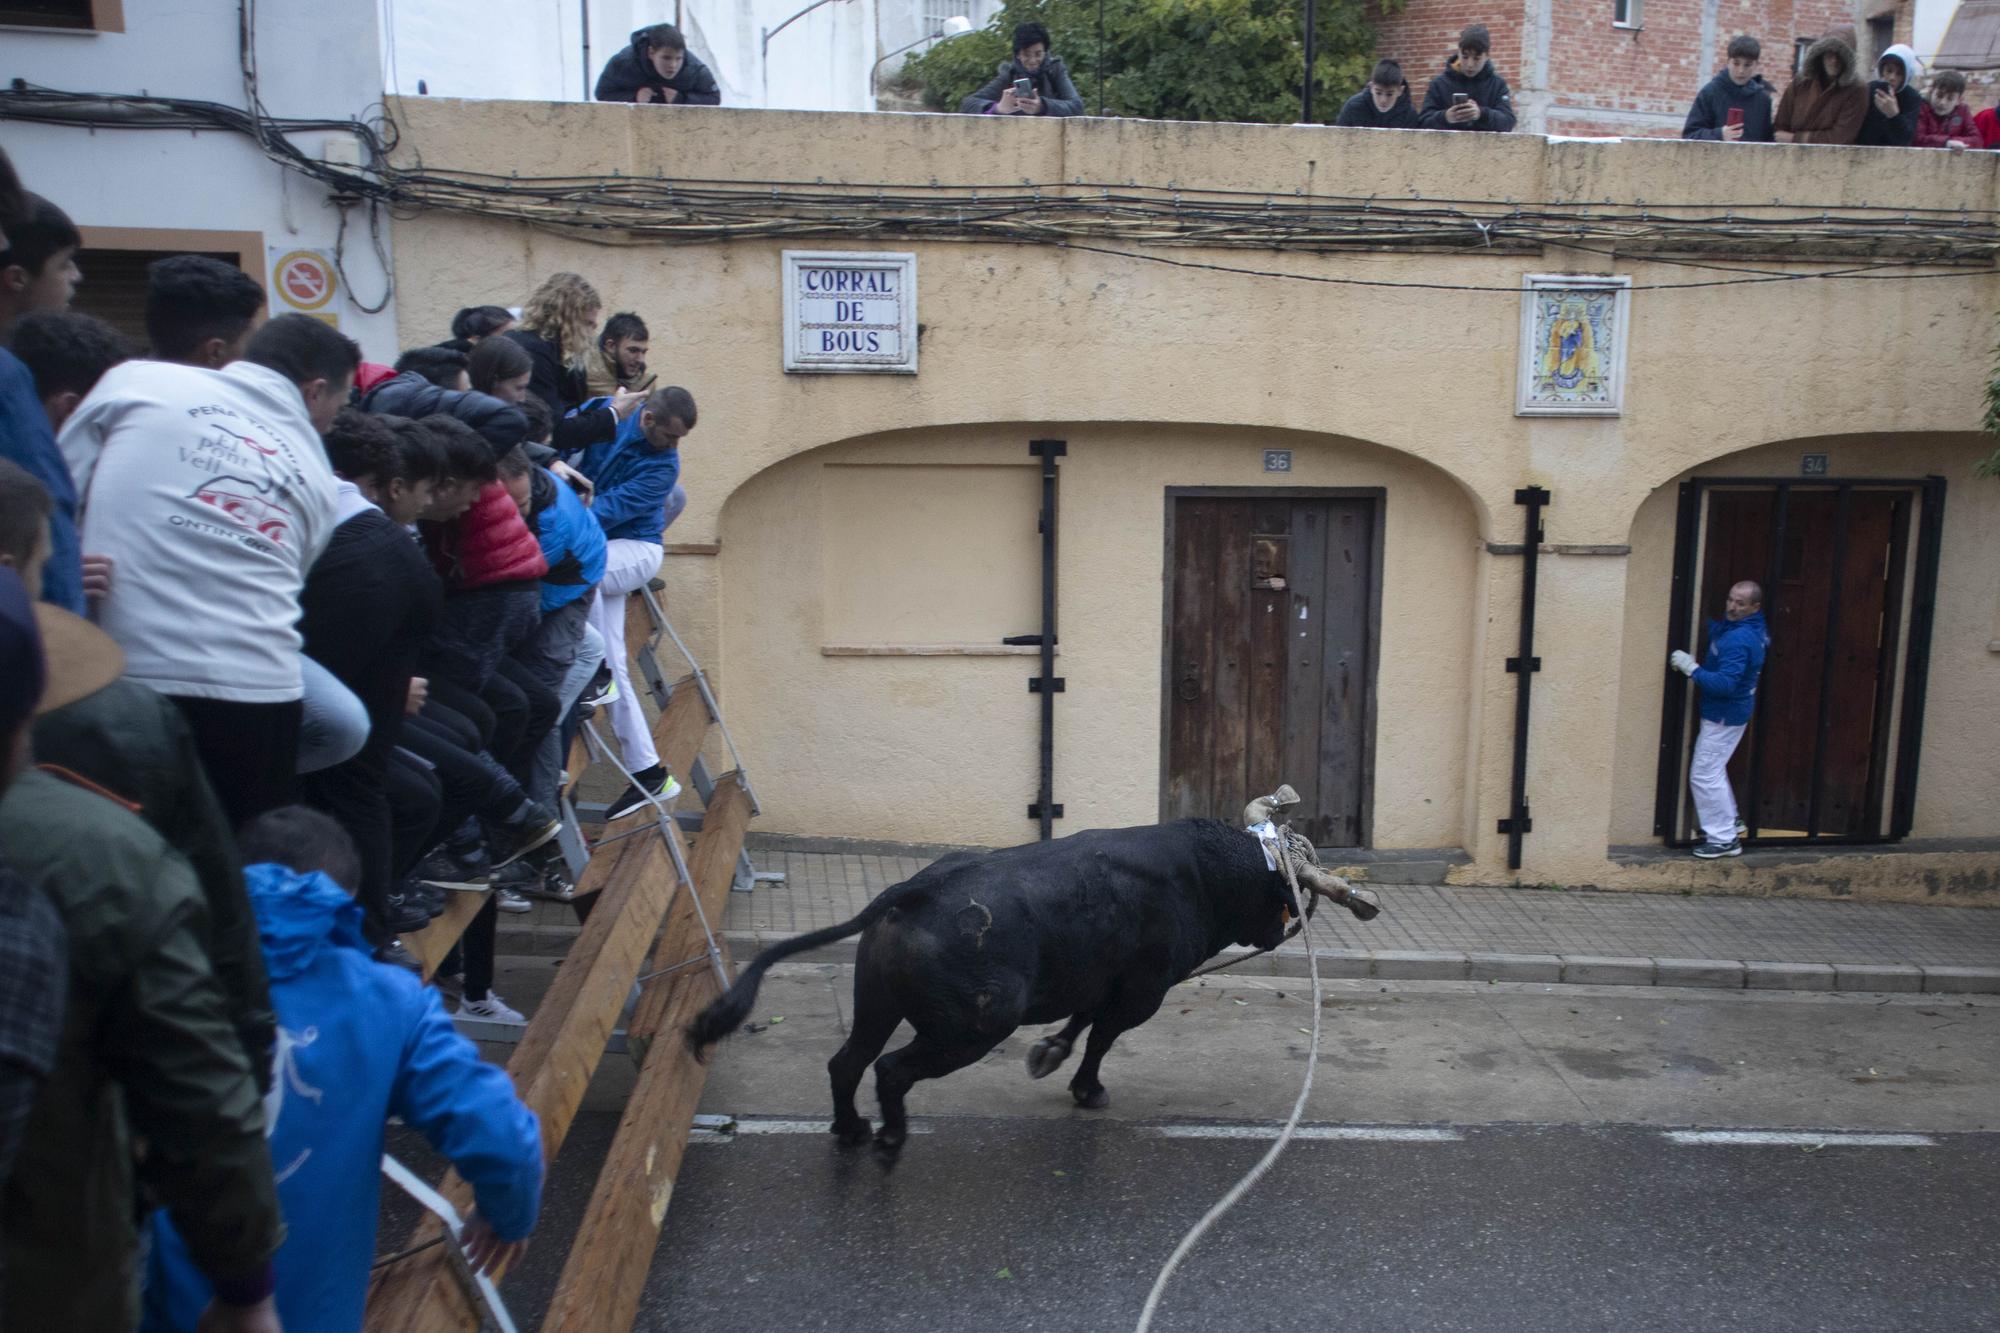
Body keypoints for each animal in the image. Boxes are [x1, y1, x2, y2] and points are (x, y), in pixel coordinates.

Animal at [688, 816, 1376, 1144]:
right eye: (1278, 893)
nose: (1278, 930)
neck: (1203, 870)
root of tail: (913, 891)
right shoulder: (1142, 991)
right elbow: (1100, 1037)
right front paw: (1085, 1088)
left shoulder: (1102, 982)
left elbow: (1082, 1023)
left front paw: (1049, 1053)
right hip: (973, 1027)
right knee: (889, 1069)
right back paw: (889, 1136)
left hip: (876, 1004)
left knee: (846, 1061)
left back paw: (851, 1130)